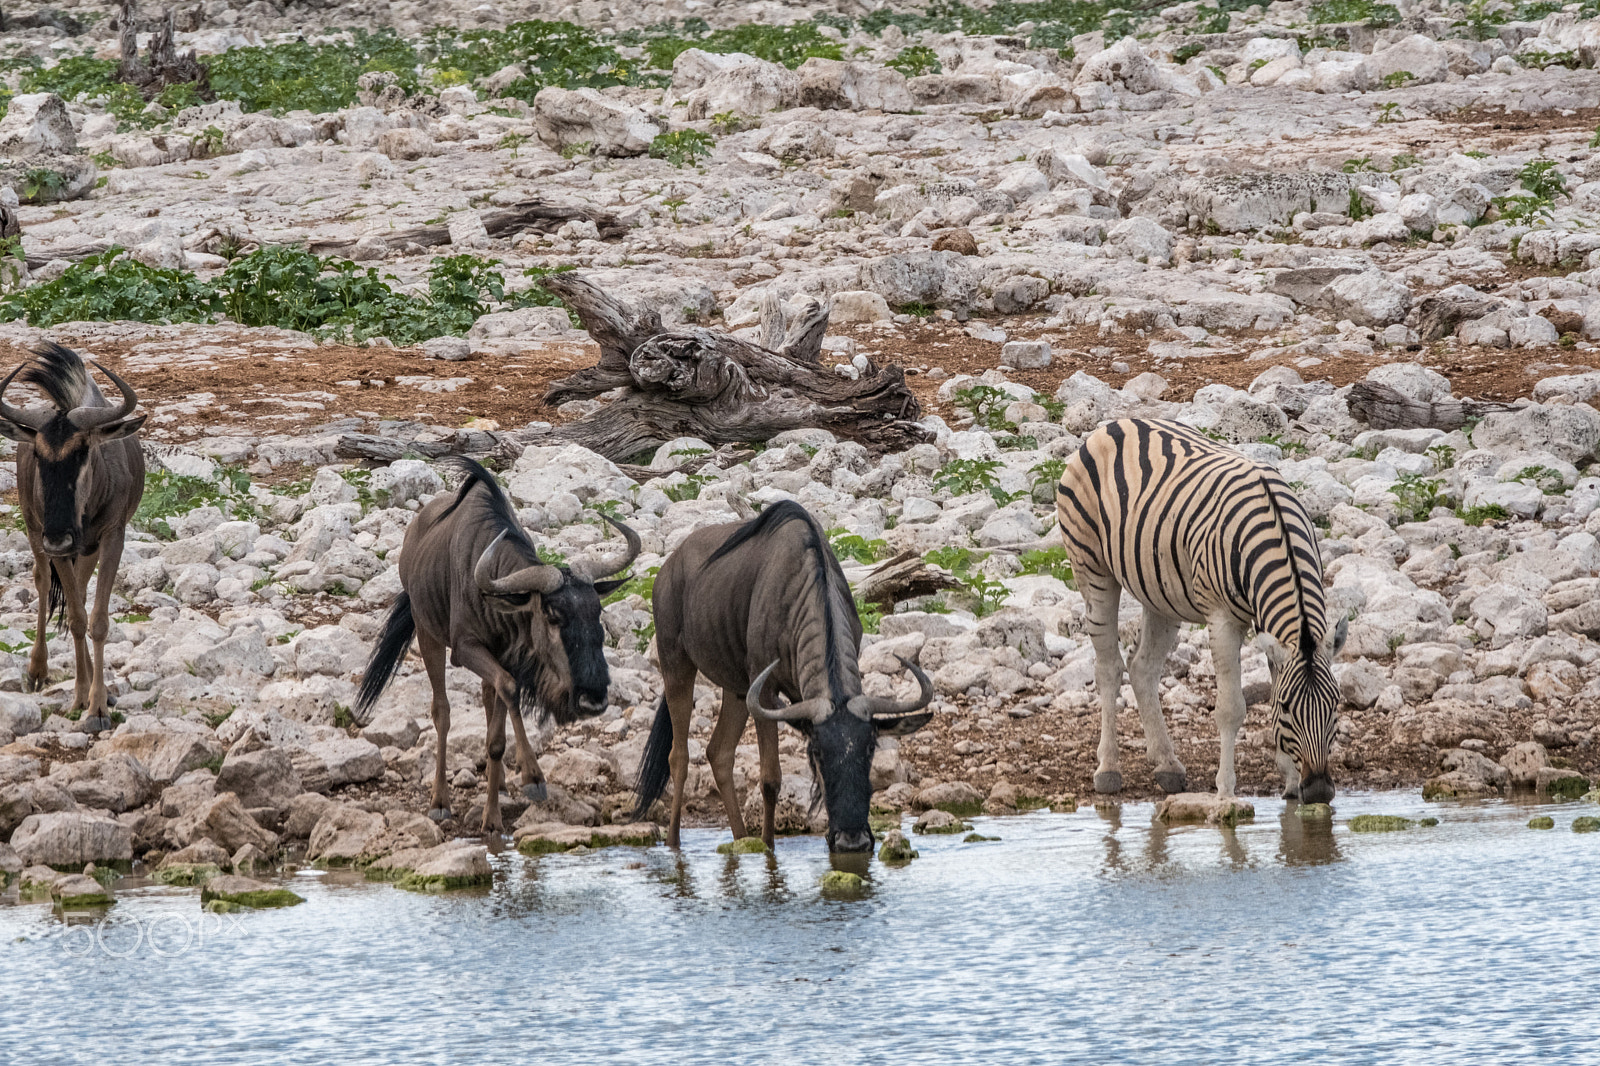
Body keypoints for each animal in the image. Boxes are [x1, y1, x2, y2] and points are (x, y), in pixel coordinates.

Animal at [1056, 416, 1344, 797]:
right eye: (1287, 708)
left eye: (1336, 704)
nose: (1319, 791)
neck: (1277, 533)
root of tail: (1116, 424)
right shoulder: (1222, 619)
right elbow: (1231, 708)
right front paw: (1225, 789)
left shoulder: (1269, 623)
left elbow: (1272, 682)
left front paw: (1290, 782)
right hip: (1092, 567)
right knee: (1108, 669)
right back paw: (1108, 769)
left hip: (1159, 591)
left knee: (1142, 667)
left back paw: (1167, 765)